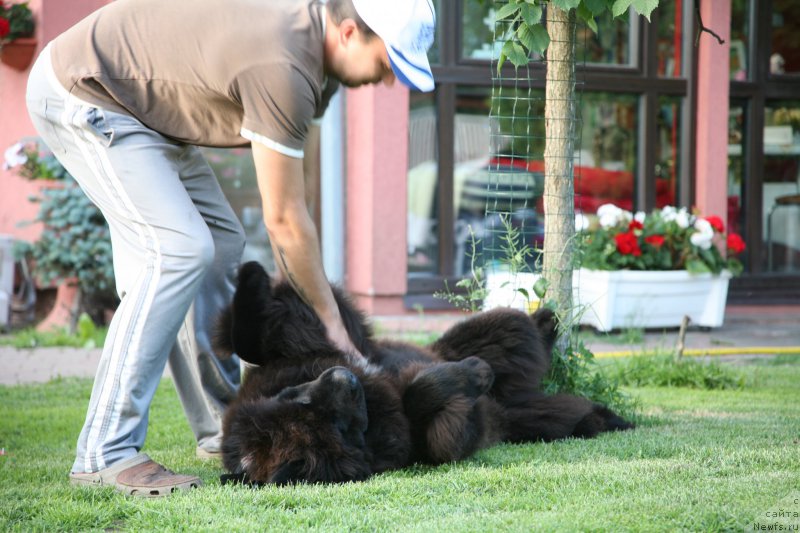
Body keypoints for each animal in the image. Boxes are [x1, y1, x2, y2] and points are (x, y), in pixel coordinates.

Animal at [214, 260, 632, 484]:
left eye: (298, 397)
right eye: (337, 425)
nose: (345, 377)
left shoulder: (310, 347)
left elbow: (253, 337)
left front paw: (250, 276)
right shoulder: (420, 437)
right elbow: (420, 397)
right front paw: (473, 375)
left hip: (483, 333)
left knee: (519, 328)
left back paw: (547, 318)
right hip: (527, 412)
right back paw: (601, 416)